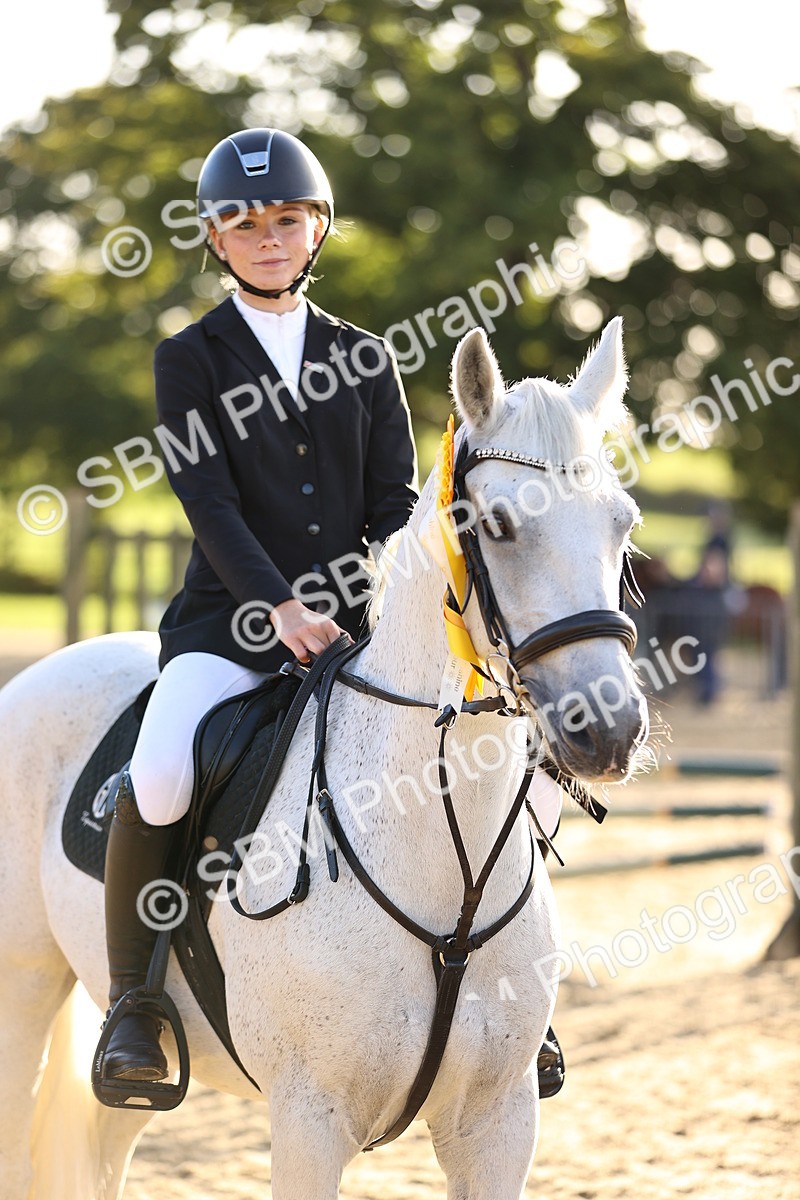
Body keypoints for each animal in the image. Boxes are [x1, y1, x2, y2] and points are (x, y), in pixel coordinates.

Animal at [0, 318, 648, 1199]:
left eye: (623, 521)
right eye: (498, 525)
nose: (609, 729)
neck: (444, 864)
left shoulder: (499, 1121)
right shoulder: (309, 1119)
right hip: (22, 991)